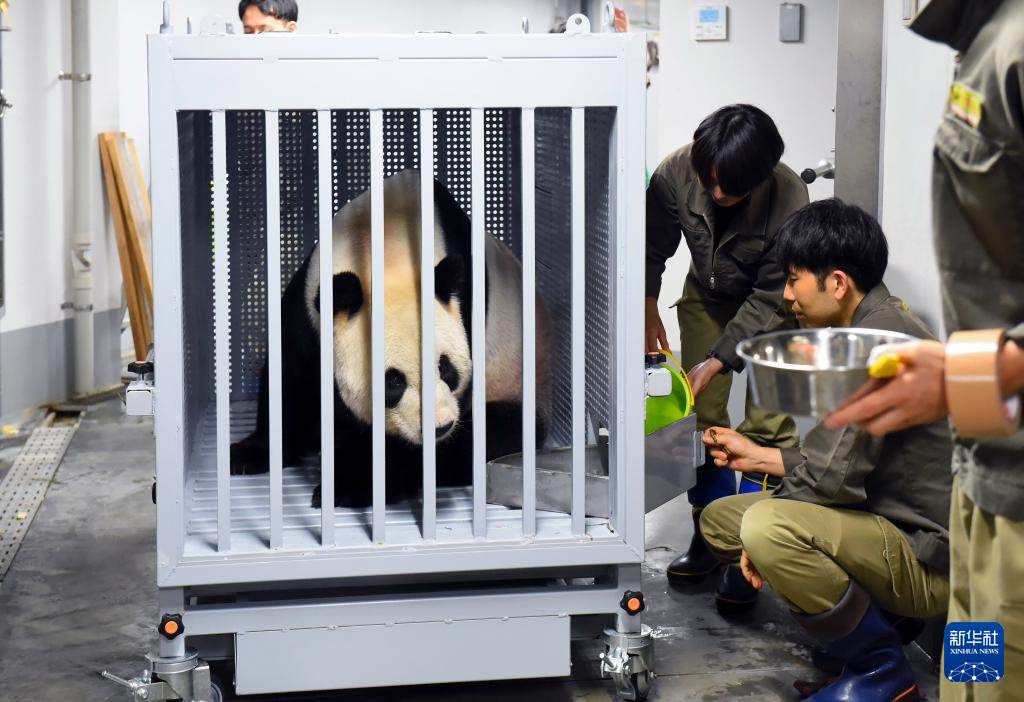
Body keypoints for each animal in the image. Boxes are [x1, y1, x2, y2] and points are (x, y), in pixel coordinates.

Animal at [232, 170, 552, 511]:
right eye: (393, 381)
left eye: (446, 368)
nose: (440, 426)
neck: (385, 252)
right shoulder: (310, 303)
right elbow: (290, 373)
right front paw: (250, 453)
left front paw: (352, 482)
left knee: (490, 433)